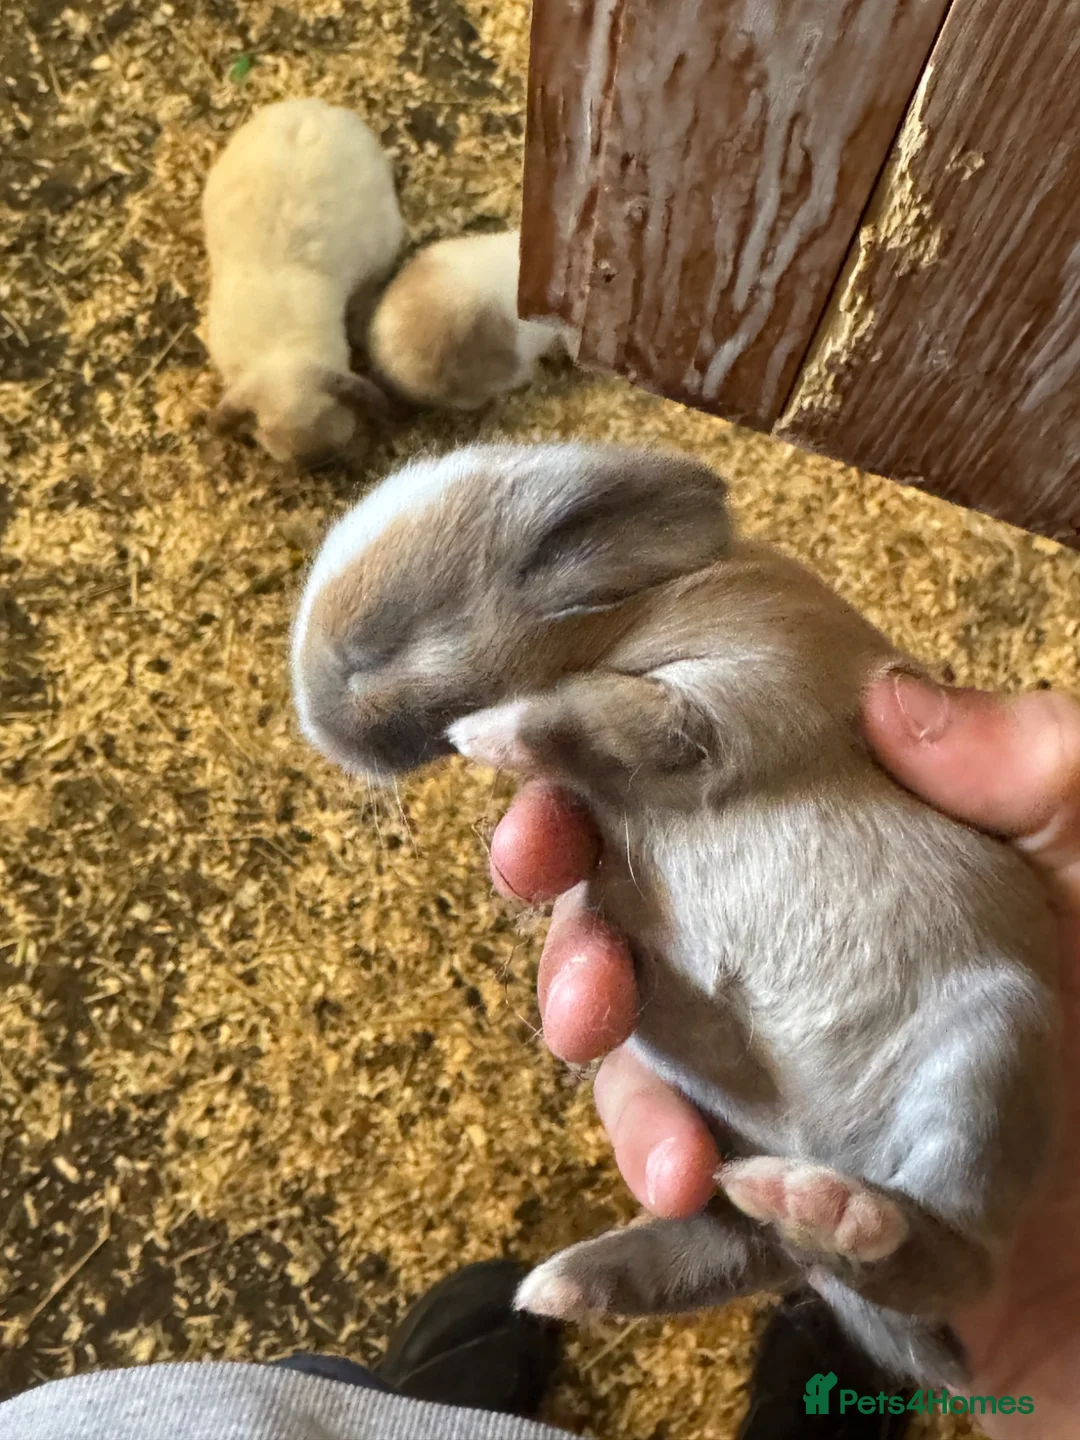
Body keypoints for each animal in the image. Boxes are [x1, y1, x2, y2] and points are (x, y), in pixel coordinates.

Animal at [290, 441, 1060, 1387]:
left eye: (377, 648)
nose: (315, 726)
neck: (622, 618)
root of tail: (818, 1148)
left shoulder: (742, 682)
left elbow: (625, 717)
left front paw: (493, 733)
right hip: (734, 1154)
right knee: (736, 1249)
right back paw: (568, 1282)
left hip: (988, 1060)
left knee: (946, 1256)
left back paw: (828, 1208)